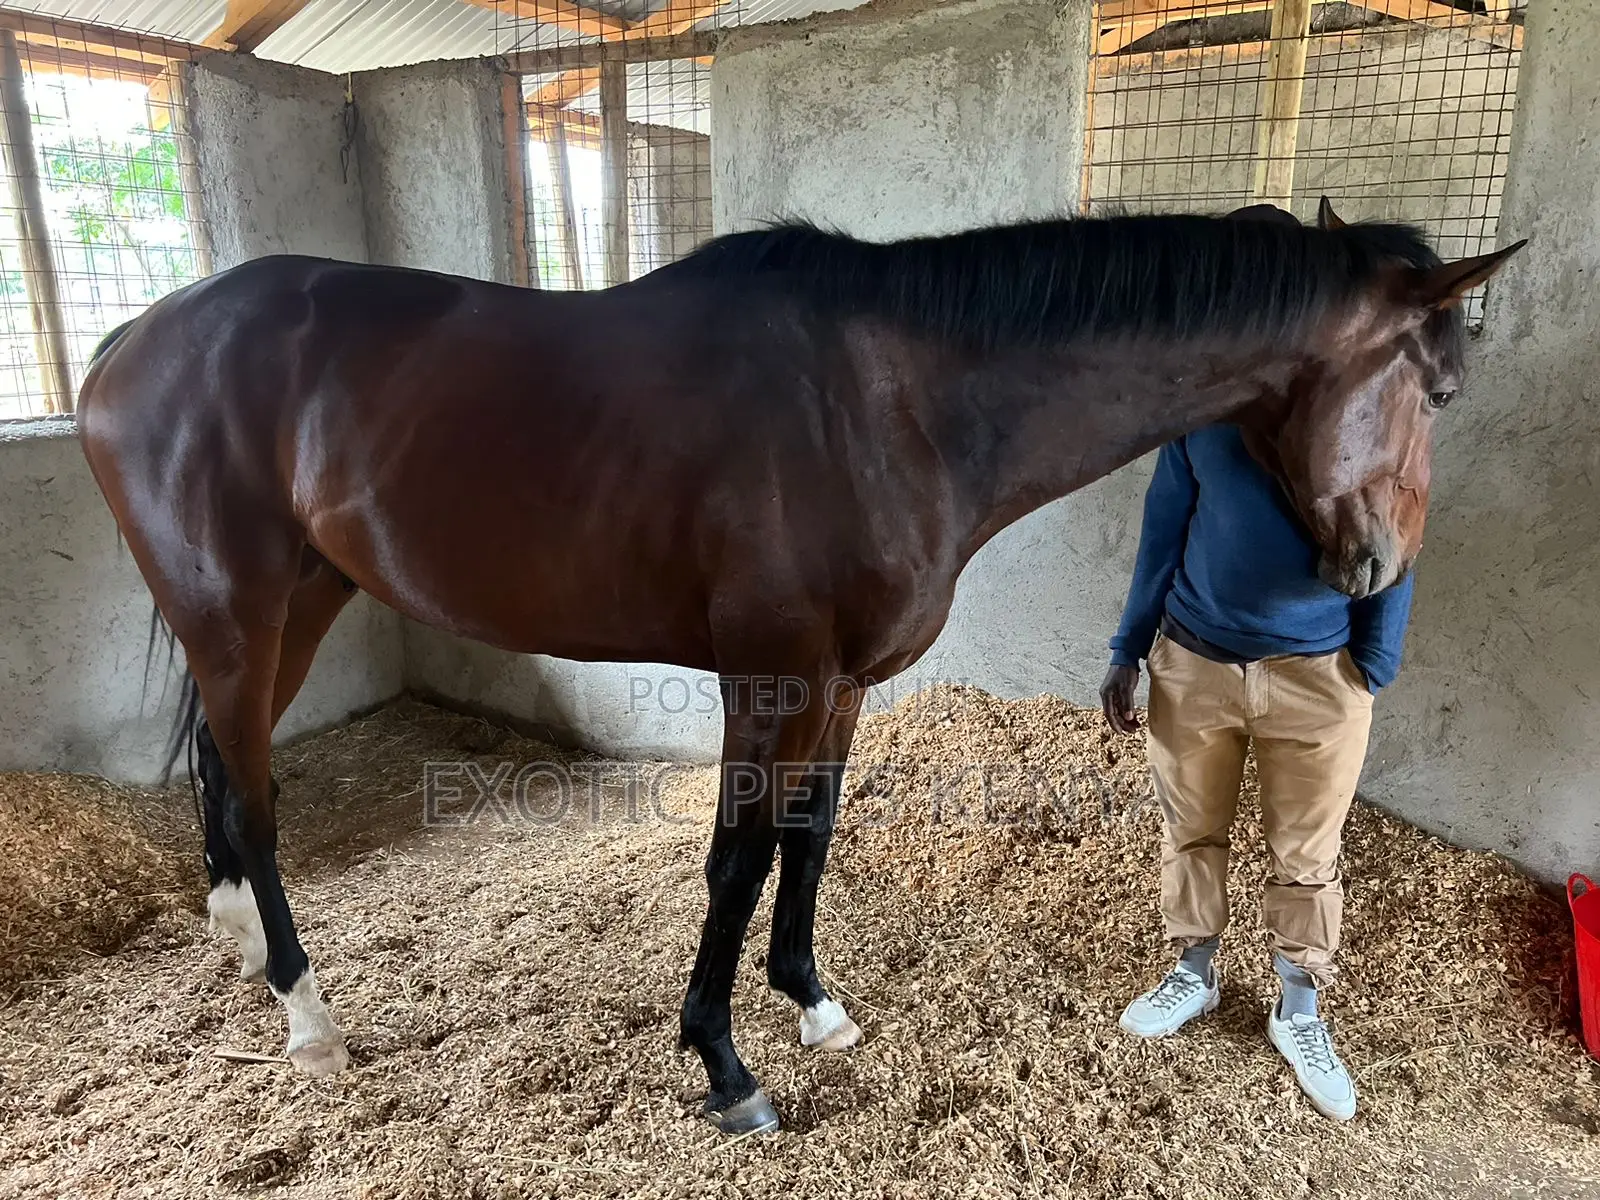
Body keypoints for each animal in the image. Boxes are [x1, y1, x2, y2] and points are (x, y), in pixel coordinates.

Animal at [75, 198, 1522, 1135]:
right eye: (1436, 390)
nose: (1373, 573)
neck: (895, 404)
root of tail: (133, 344)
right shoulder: (764, 673)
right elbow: (733, 853)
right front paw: (724, 1066)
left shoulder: (842, 680)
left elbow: (807, 836)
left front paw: (813, 1006)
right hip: (238, 612)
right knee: (256, 794)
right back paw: (308, 1018)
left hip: (297, 603)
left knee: (225, 772)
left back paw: (236, 947)